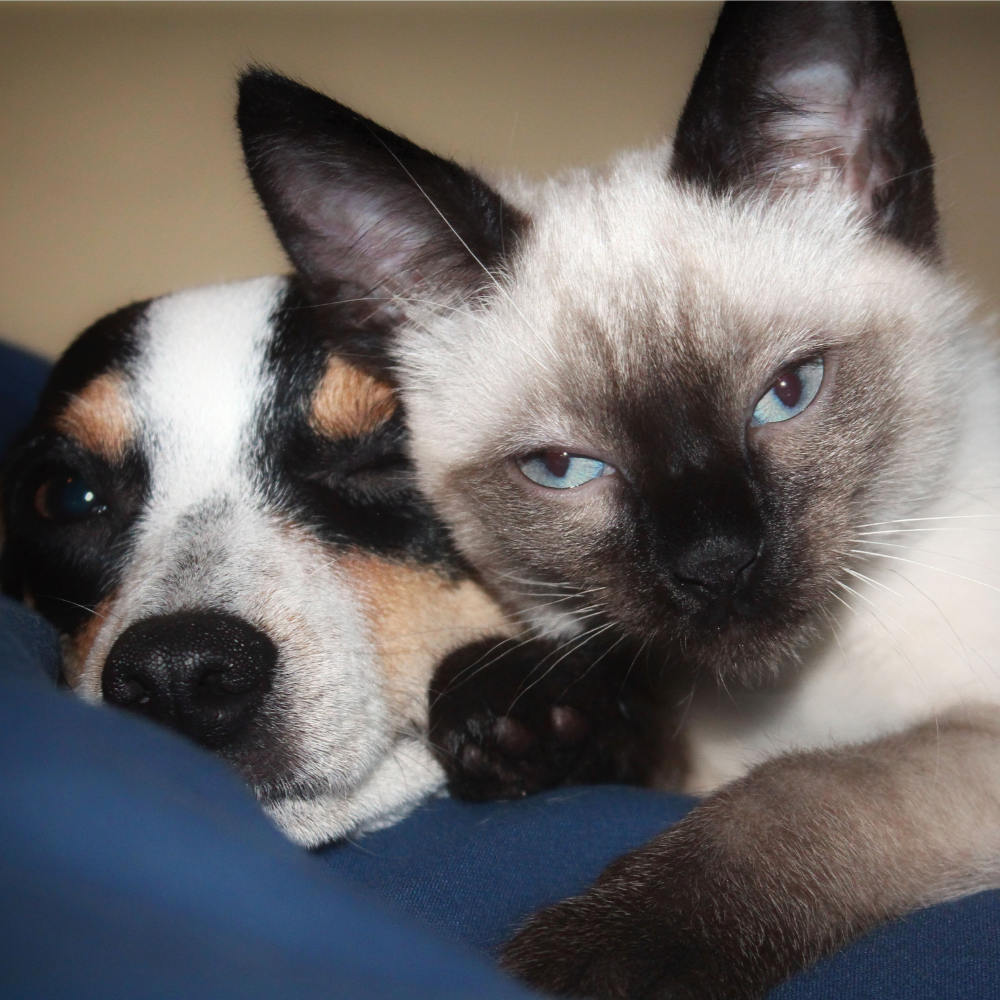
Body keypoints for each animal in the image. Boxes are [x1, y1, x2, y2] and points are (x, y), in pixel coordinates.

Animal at [236, 3, 1000, 996]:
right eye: (563, 469)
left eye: (788, 393)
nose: (718, 562)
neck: (791, 692)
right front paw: (515, 717)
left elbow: (798, 794)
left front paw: (588, 959)